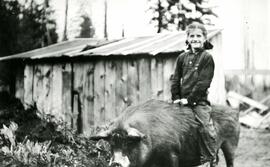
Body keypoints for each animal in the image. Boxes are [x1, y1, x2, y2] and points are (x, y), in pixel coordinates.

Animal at [91, 99, 240, 167]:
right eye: (111, 144)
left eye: (129, 142)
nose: (115, 163)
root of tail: (233, 111)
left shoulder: (172, 154)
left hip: (230, 143)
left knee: (230, 161)